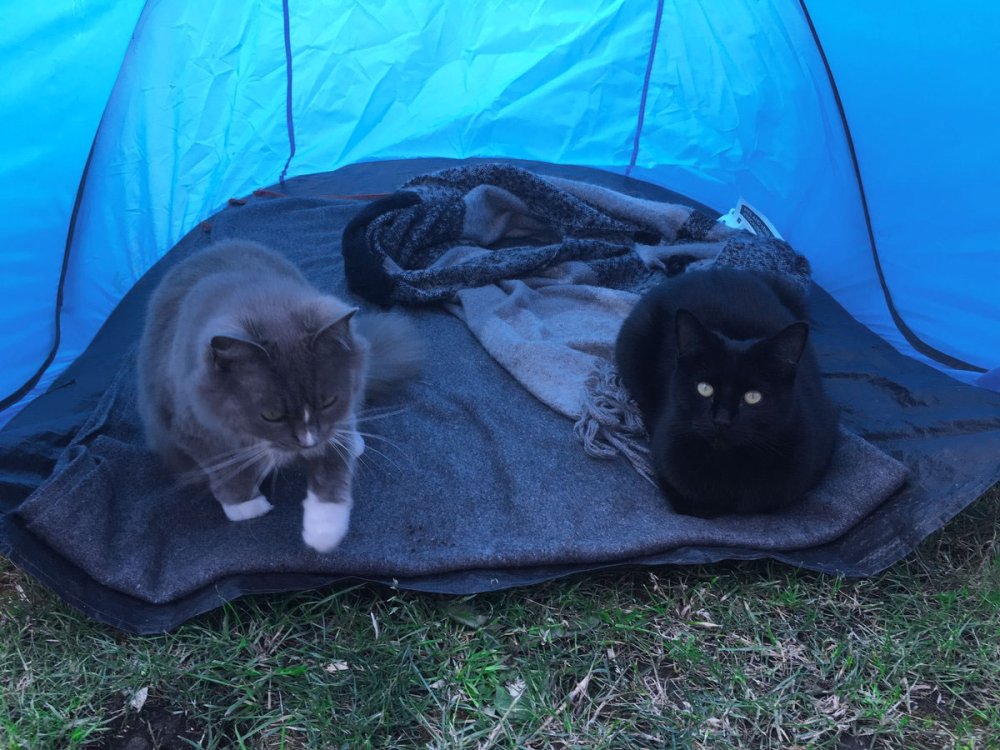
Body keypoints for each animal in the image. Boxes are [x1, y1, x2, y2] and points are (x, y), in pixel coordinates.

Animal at [137, 239, 422, 552]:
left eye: (327, 401)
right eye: (271, 415)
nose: (307, 442)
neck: (259, 300)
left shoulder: (333, 418)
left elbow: (333, 464)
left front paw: (324, 531)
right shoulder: (190, 427)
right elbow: (226, 467)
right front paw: (246, 507)